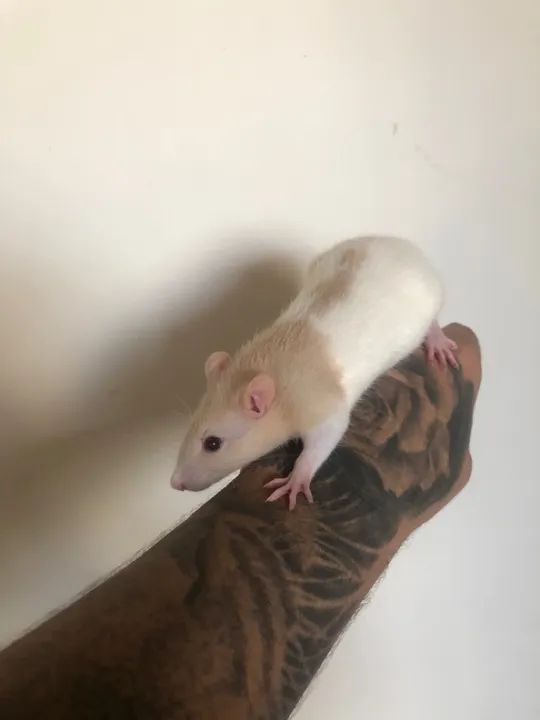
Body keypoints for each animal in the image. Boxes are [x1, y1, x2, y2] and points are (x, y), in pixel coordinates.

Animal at [170, 236, 457, 510]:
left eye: (213, 443)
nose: (175, 483)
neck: (262, 367)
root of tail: (409, 250)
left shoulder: (315, 400)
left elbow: (329, 433)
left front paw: (298, 477)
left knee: (431, 320)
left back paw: (436, 339)